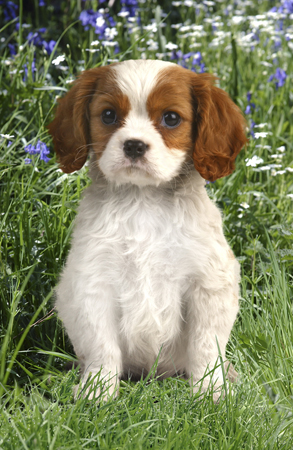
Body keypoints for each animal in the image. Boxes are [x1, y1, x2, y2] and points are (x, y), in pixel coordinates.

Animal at [48, 59, 246, 400]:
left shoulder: (207, 285)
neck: (143, 200)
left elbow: (205, 347)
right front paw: (97, 391)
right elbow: (102, 346)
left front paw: (210, 391)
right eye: (109, 115)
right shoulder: (93, 283)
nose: (134, 145)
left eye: (171, 118)